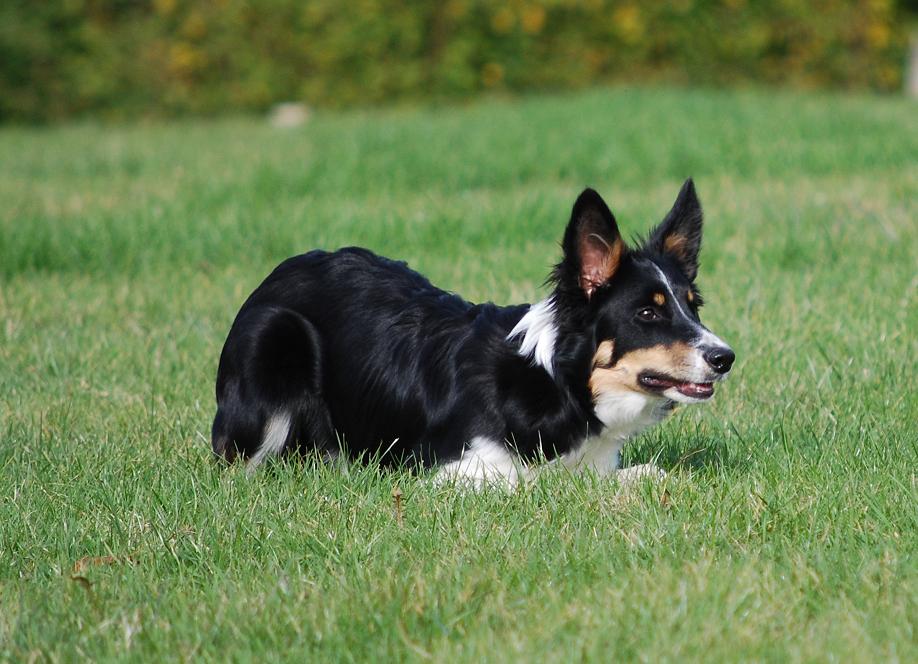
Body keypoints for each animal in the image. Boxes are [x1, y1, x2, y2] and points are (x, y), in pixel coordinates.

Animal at [211, 179, 734, 485]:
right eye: (647, 314)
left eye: (693, 307)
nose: (725, 357)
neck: (560, 385)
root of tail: (277, 273)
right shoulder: (450, 471)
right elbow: (526, 485)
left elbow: (653, 473)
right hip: (274, 344)